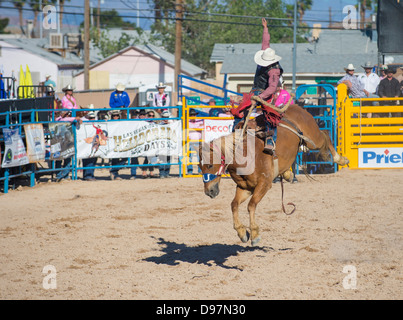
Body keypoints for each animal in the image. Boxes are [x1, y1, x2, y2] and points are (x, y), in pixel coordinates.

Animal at [200, 95, 350, 245]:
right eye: (200, 167)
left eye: (209, 165)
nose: (209, 191)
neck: (245, 154)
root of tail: (297, 107)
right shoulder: (245, 187)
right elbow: (234, 205)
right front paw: (242, 232)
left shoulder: (264, 184)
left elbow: (251, 205)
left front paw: (254, 233)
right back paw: (288, 174)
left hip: (313, 139)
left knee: (325, 134)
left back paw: (340, 159)